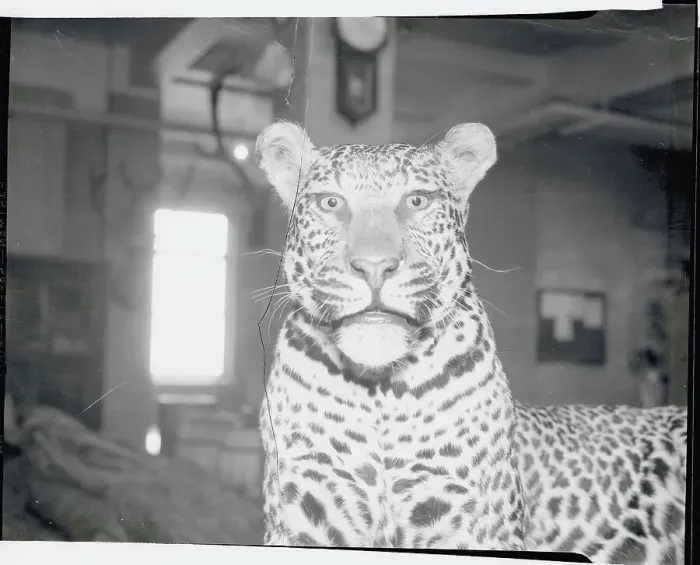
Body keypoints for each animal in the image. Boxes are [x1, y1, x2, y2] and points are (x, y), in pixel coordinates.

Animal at [255, 120, 688, 565]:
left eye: (416, 200)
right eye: (331, 203)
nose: (375, 266)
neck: (380, 394)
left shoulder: (471, 518)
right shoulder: (306, 507)